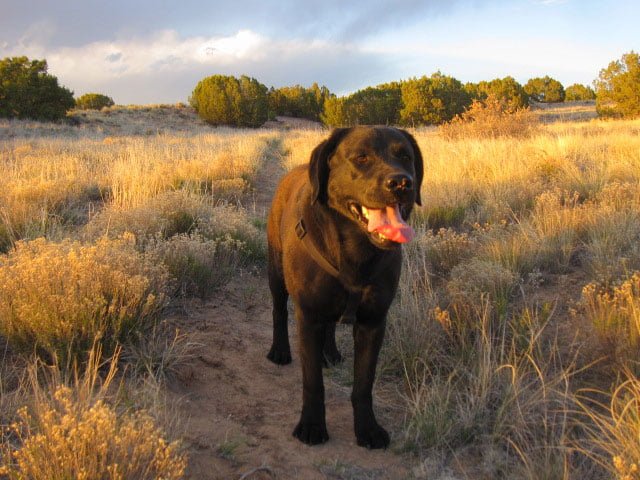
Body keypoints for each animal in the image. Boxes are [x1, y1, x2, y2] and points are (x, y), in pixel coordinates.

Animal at [266, 125, 422, 448]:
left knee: (330, 326)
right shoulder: (308, 317)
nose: (402, 182)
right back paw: (280, 350)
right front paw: (312, 425)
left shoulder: (373, 322)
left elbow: (363, 384)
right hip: (275, 272)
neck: (356, 254)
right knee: (278, 311)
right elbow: (313, 381)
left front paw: (367, 428)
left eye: (405, 156)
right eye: (361, 157)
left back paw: (330, 353)